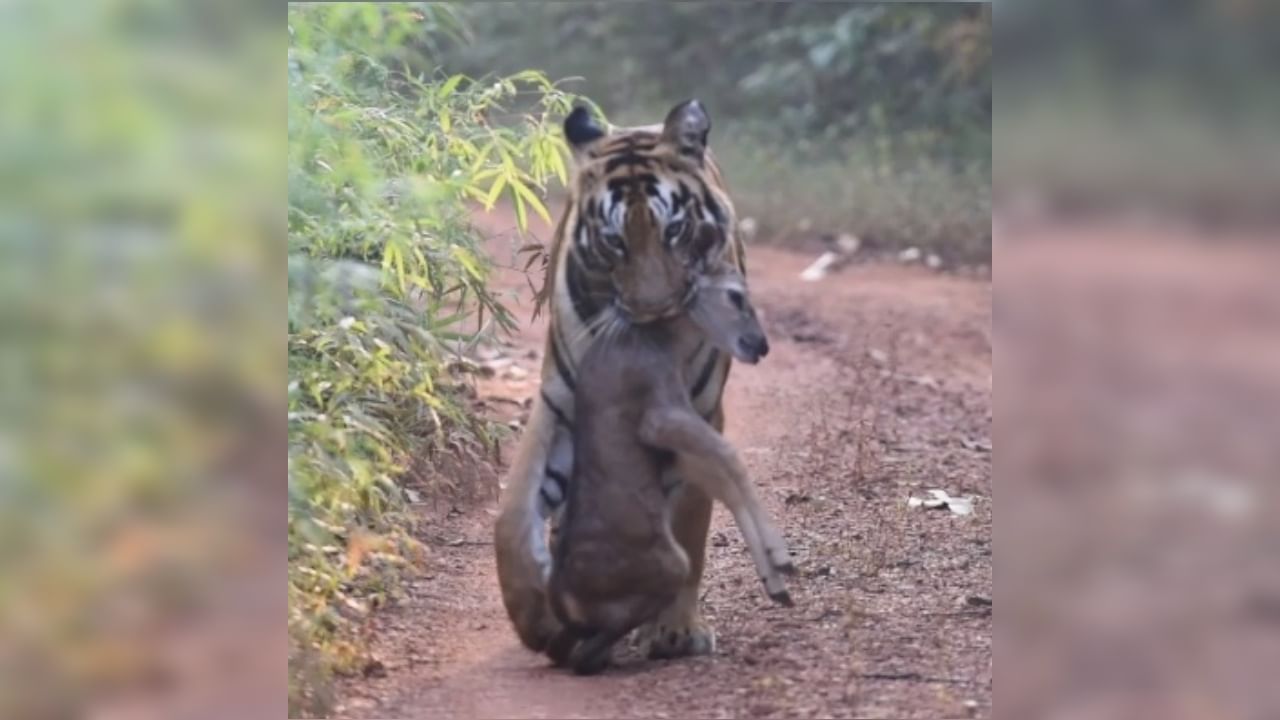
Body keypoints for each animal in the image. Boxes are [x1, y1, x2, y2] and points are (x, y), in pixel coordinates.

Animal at [491, 98, 747, 661]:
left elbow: (688, 526)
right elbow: (513, 516)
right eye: (614, 242)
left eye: (674, 231)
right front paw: (535, 617)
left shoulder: (697, 414)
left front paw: (675, 630)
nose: (654, 309)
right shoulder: (559, 405)